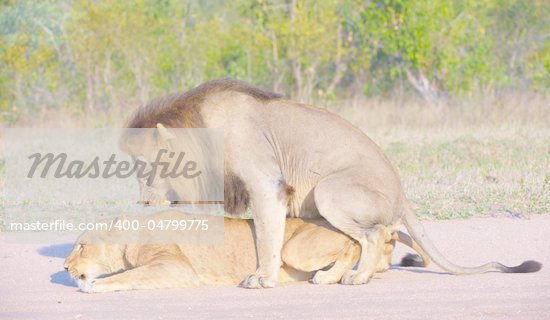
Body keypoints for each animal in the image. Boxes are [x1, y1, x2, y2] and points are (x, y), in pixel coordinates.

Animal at [122, 79, 544, 288]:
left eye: (146, 168)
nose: (144, 204)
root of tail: (403, 194)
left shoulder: (266, 184)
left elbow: (267, 237)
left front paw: (263, 279)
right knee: (369, 238)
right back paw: (333, 276)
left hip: (327, 192)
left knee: (375, 235)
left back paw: (357, 277)